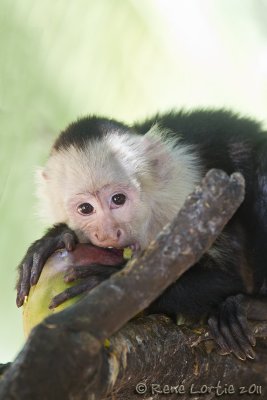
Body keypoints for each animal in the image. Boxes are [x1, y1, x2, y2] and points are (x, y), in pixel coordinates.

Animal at [16, 108, 267, 360]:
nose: (108, 234)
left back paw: (252, 308)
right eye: (85, 208)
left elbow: (227, 279)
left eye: (118, 199)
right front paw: (55, 237)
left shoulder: (188, 198)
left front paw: (107, 279)